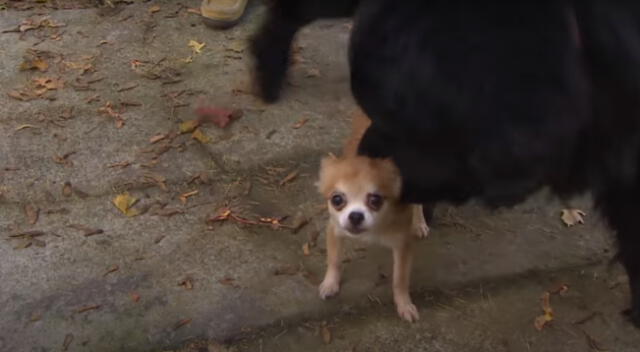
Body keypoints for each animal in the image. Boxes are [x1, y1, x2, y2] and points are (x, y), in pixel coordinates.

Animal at [316, 110, 428, 322]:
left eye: (376, 200)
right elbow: (334, 260)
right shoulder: (334, 229)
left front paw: (404, 304)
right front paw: (330, 283)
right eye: (337, 199)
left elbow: (400, 279)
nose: (355, 216)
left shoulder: (403, 244)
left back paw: (419, 223)